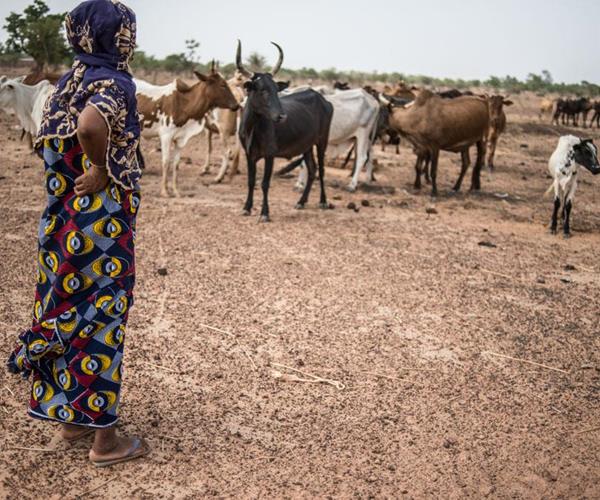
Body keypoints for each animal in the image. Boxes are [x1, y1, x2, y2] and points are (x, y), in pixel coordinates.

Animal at [136, 61, 239, 196]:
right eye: (222, 85)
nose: (236, 105)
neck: (183, 103)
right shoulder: (165, 137)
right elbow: (165, 161)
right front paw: (164, 191)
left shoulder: (180, 139)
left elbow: (176, 163)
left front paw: (175, 191)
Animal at [236, 42, 338, 222]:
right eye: (262, 89)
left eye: (276, 89)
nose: (282, 116)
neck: (253, 128)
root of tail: (321, 98)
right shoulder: (249, 154)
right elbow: (251, 181)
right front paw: (246, 208)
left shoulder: (269, 154)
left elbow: (264, 183)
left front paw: (264, 213)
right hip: (307, 146)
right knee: (312, 170)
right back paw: (301, 202)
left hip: (322, 141)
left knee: (321, 170)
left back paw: (323, 201)